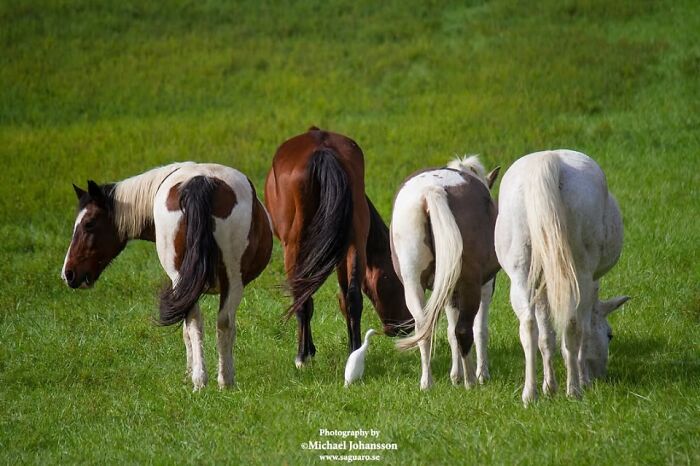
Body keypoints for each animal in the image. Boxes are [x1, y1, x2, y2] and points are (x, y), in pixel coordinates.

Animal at [61, 162, 272, 390]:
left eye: (89, 223)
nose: (68, 273)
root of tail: (202, 180)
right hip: (229, 281)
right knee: (215, 323)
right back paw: (216, 381)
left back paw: (211, 381)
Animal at [264, 127, 413, 368]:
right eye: (399, 281)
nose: (407, 326)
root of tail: (322, 150)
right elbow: (345, 298)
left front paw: (308, 351)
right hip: (354, 241)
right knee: (352, 297)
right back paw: (353, 351)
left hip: (293, 246)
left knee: (302, 297)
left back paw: (301, 356)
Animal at [392, 156, 501, 390]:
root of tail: (432, 190)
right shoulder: (485, 286)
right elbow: (480, 330)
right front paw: (481, 374)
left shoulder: (449, 289)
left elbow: (450, 331)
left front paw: (455, 376)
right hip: (470, 284)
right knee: (464, 330)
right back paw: (471, 381)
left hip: (413, 283)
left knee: (424, 329)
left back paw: (427, 383)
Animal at [494, 150, 629, 404]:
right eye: (610, 335)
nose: (600, 376)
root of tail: (551, 160)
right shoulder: (590, 285)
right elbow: (582, 331)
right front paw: (582, 381)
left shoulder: (543, 286)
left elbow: (547, 337)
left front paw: (549, 387)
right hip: (580, 274)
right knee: (573, 325)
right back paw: (574, 389)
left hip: (521, 275)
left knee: (529, 326)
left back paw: (530, 394)